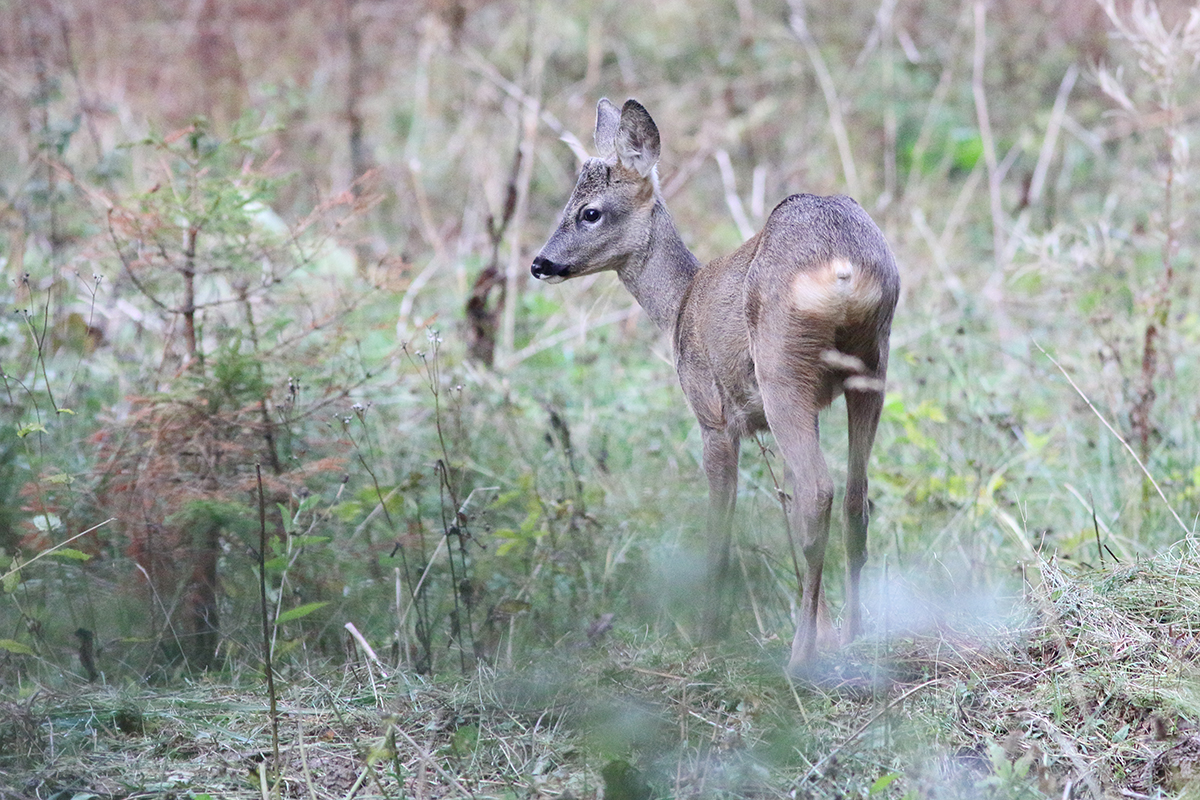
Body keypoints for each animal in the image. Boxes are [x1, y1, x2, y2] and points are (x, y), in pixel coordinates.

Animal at [530, 101, 897, 676]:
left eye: (589, 212)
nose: (540, 263)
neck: (679, 303)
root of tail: (841, 264)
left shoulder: (714, 415)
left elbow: (718, 531)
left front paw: (706, 639)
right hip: (872, 361)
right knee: (855, 497)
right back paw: (853, 636)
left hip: (780, 364)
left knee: (820, 493)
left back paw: (799, 657)